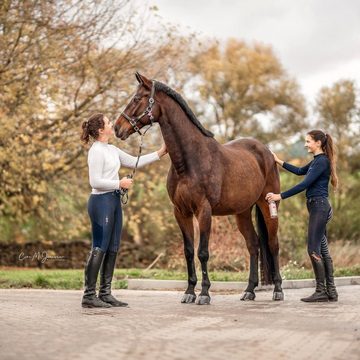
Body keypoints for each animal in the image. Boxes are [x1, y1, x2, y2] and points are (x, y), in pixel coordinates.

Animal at [115, 72, 284, 304]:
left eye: (136, 99)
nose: (117, 128)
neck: (189, 161)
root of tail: (266, 152)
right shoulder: (181, 212)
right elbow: (188, 251)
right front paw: (189, 292)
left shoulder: (204, 210)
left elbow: (203, 252)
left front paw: (204, 293)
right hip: (242, 212)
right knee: (254, 244)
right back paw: (249, 290)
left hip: (269, 204)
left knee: (273, 243)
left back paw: (278, 289)